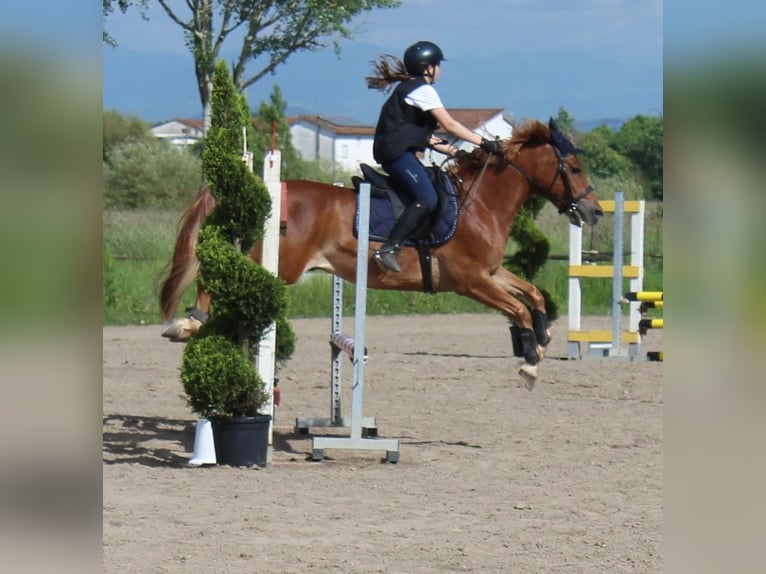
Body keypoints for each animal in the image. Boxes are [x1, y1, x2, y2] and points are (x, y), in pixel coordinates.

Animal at [159, 119, 608, 390]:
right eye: (572, 167)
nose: (594, 212)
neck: (479, 203)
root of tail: (258, 191)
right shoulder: (471, 281)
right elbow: (517, 311)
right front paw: (530, 361)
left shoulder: (490, 273)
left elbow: (532, 295)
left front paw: (544, 338)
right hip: (276, 267)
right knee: (214, 277)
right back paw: (188, 323)